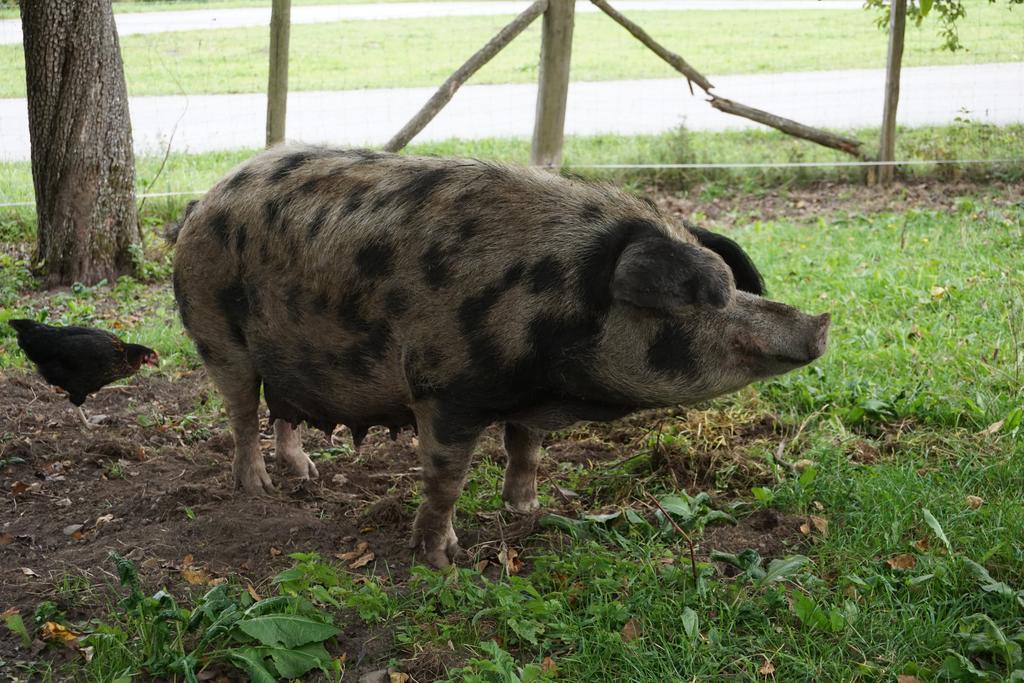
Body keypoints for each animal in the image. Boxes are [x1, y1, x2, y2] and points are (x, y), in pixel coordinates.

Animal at [169, 147, 831, 569]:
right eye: (706, 294)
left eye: (736, 286)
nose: (820, 323)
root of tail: (203, 201)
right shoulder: (444, 388)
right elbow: (446, 478)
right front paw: (443, 561)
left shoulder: (524, 400)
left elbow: (525, 448)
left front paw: (528, 510)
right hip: (214, 330)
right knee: (240, 410)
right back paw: (258, 490)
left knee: (281, 408)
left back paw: (304, 474)